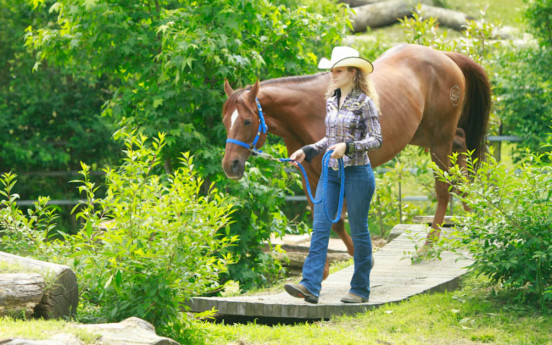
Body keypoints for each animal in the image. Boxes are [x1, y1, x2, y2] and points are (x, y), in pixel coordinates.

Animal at [221, 43, 492, 268]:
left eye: (247, 121)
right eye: (226, 121)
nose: (230, 165)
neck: (307, 111)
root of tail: (444, 56)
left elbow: (336, 221)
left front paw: (363, 260)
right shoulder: (309, 173)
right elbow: (322, 220)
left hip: (438, 140)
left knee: (444, 188)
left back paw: (429, 246)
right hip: (428, 135)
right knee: (462, 153)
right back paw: (472, 214)